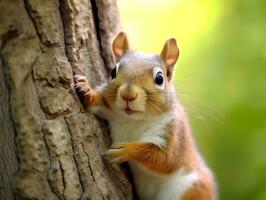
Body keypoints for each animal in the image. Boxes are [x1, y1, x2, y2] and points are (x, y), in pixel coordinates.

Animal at [72, 32, 216, 199]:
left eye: (160, 78)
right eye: (113, 71)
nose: (128, 94)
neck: (133, 120)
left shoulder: (172, 134)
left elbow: (165, 159)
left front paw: (127, 149)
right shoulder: (111, 110)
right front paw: (86, 90)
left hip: (194, 189)